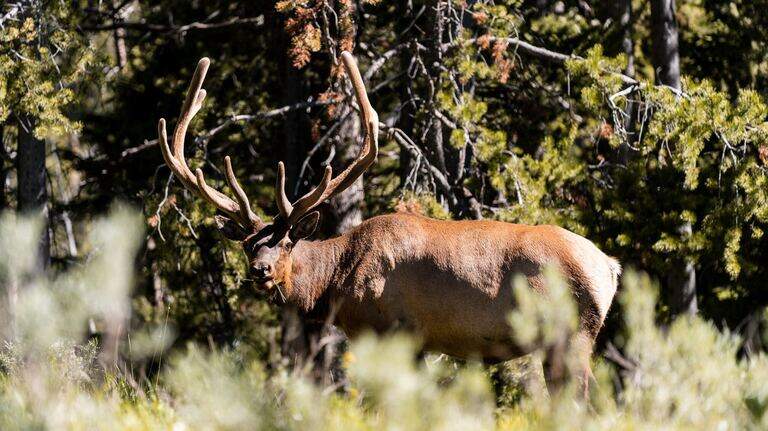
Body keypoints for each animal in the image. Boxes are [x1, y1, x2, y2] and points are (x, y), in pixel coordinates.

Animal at [157, 51, 621, 393]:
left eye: (288, 241)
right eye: (247, 244)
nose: (261, 270)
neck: (338, 281)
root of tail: (610, 267)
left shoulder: (393, 329)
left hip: (571, 331)